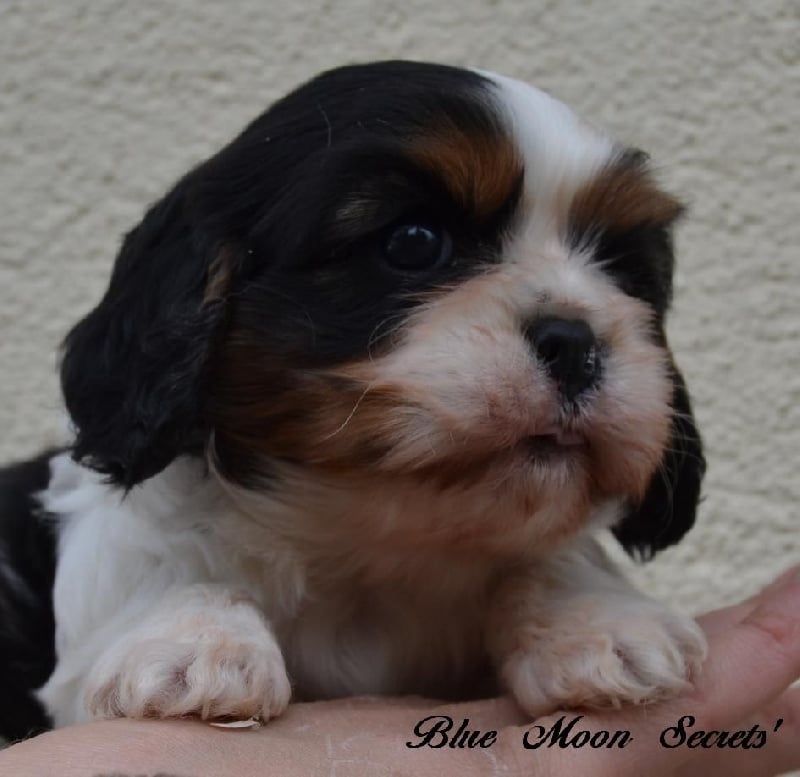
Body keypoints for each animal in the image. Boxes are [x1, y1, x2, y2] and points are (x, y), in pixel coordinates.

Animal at [0, 61, 707, 740]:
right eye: (414, 242)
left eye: (623, 271)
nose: (574, 341)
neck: (371, 542)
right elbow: (167, 563)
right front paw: (188, 645)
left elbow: (552, 559)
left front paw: (599, 620)